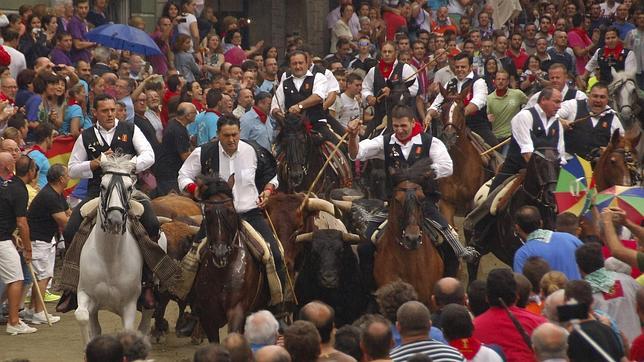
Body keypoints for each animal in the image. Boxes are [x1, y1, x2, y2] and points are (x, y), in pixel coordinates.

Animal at [75, 153, 152, 348]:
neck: (109, 257)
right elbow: (82, 317)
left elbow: (128, 333)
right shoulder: (86, 295)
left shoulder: (129, 306)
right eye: (103, 186)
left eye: (129, 187)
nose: (115, 220)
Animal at [194, 177, 270, 340]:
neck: (222, 273)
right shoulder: (207, 316)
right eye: (207, 212)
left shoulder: (237, 310)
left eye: (230, 211)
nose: (220, 253)